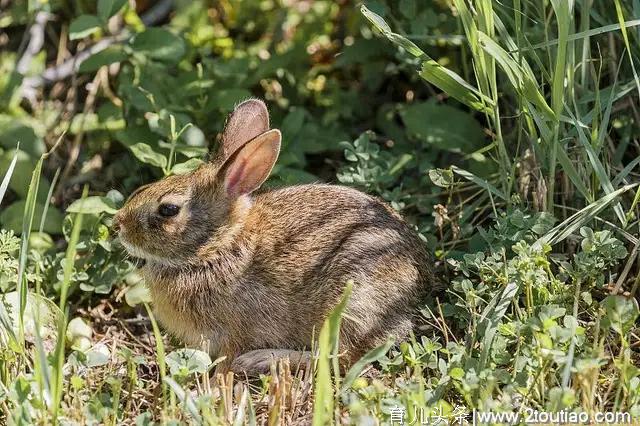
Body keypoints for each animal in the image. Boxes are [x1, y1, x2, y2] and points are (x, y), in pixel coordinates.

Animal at [114, 98, 436, 374]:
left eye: (168, 210)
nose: (119, 225)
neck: (216, 248)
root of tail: (415, 284)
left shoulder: (234, 333)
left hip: (350, 300)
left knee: (336, 359)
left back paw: (261, 360)